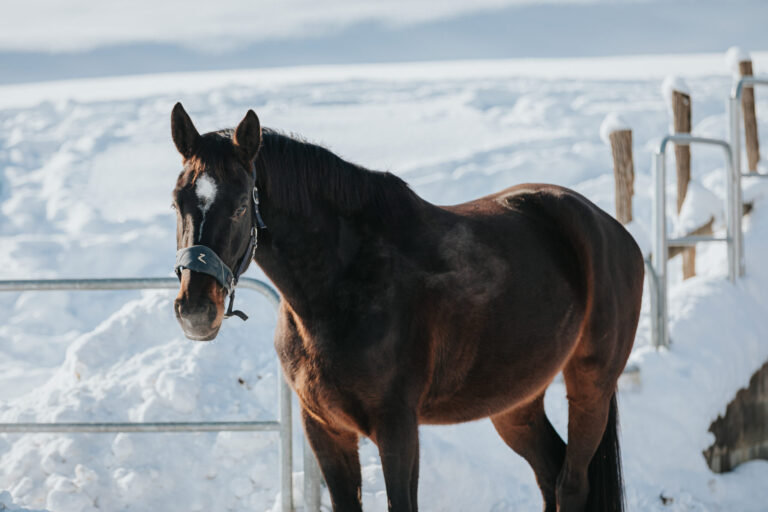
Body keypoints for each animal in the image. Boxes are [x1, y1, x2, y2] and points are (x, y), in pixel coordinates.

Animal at [171, 104, 644, 512]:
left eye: (239, 206)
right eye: (177, 201)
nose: (196, 310)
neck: (340, 285)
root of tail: (611, 229)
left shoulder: (397, 428)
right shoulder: (324, 428)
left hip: (591, 386)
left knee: (571, 483)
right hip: (515, 400)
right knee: (549, 473)